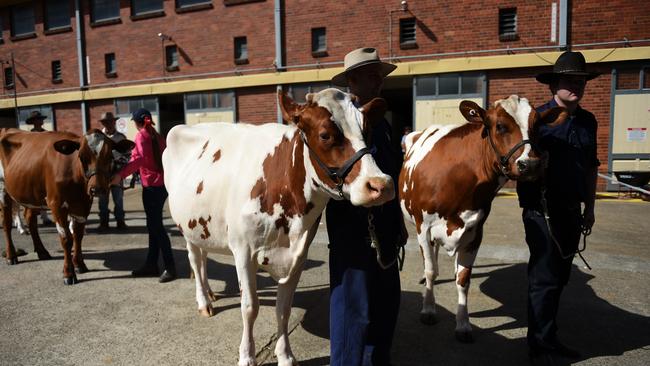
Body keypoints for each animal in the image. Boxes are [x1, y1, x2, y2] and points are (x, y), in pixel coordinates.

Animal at [0, 127, 134, 284]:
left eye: (109, 156)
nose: (97, 189)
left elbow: (77, 236)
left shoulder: (83, 206)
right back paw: (11, 256)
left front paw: (79, 265)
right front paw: (68, 273)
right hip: (3, 190)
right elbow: (66, 239)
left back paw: (42, 251)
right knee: (7, 223)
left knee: (30, 220)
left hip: (32, 195)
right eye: (81, 157)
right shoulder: (56, 205)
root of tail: (7, 129)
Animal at [165, 88, 392, 366]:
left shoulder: (299, 254)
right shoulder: (243, 251)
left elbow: (283, 309)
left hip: (204, 226)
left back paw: (210, 293)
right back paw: (203, 302)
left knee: (205, 257)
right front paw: (247, 356)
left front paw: (285, 355)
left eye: (367, 130)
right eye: (325, 135)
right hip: (186, 228)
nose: (381, 185)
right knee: (196, 262)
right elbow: (249, 308)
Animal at [398, 96, 564, 344]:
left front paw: (463, 325)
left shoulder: (474, 232)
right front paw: (428, 309)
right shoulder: (423, 227)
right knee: (431, 261)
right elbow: (430, 270)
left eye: (538, 127)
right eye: (500, 126)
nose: (532, 165)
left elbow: (463, 279)